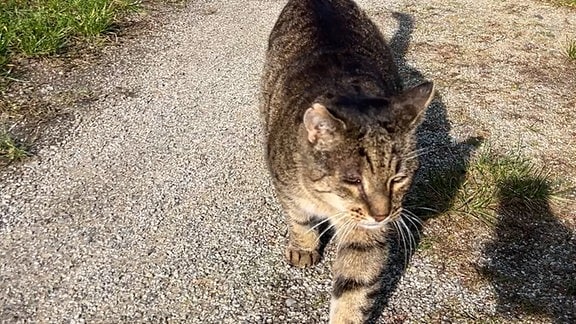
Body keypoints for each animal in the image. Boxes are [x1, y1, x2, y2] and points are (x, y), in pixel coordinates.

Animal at [260, 0, 432, 322]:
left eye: (398, 178)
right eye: (353, 180)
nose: (382, 215)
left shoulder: (364, 235)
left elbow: (354, 286)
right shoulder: (286, 186)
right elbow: (299, 219)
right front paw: (304, 246)